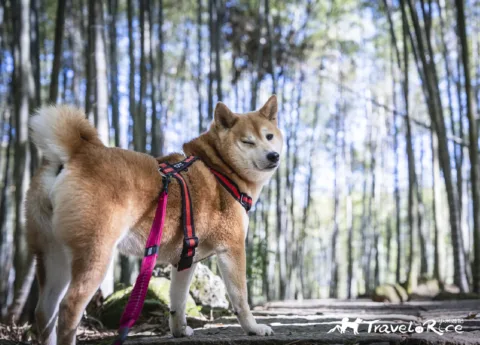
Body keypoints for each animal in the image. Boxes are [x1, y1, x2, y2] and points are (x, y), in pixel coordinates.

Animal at [25, 94, 282, 344]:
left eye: (269, 136)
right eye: (247, 141)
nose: (274, 155)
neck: (219, 169)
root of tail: (78, 152)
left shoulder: (186, 258)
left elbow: (178, 301)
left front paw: (179, 330)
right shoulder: (232, 248)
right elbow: (241, 298)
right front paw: (253, 328)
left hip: (53, 255)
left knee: (44, 311)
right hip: (95, 254)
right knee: (69, 308)